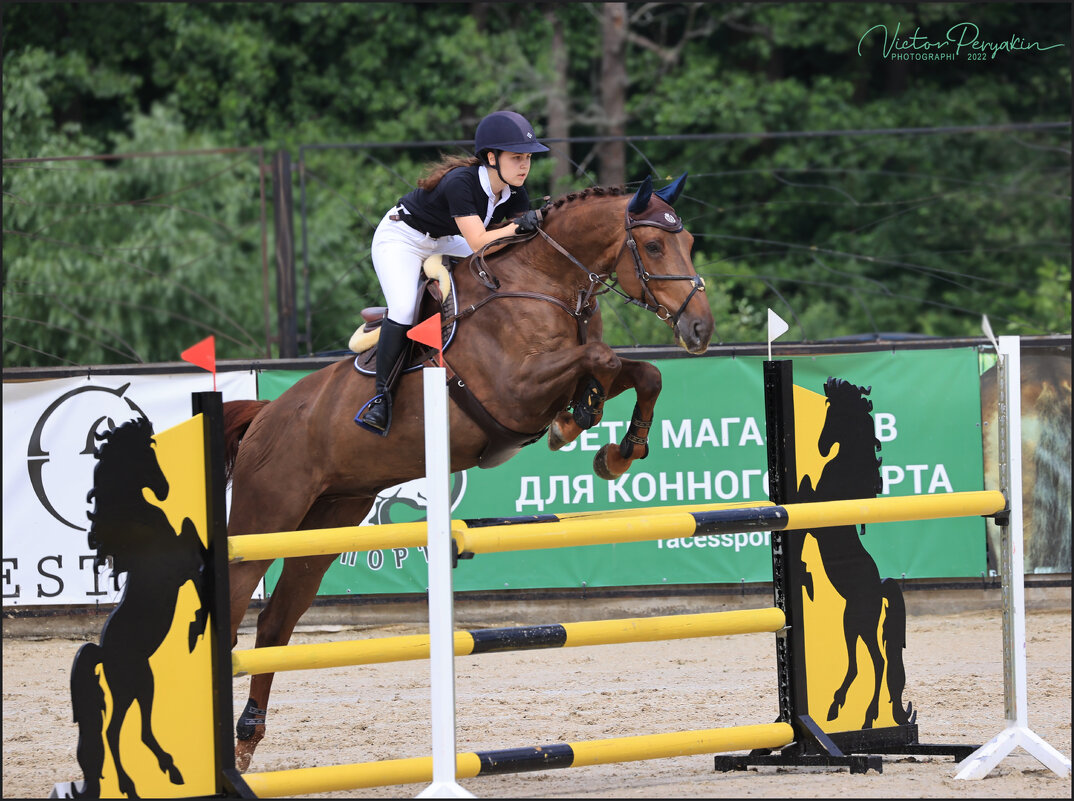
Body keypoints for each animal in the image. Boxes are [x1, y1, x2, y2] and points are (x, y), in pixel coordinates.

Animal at [69, 414, 209, 794]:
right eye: (147, 456)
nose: (164, 489)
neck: (135, 519)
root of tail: (103, 653)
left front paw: (196, 627)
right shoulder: (181, 563)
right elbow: (196, 544)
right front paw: (196, 627)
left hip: (141, 684)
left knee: (135, 731)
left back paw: (166, 770)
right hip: (133, 684)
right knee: (113, 732)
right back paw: (135, 783)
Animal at [222, 175, 717, 768]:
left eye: (688, 241)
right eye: (654, 246)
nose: (700, 329)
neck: (546, 281)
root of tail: (264, 416)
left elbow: (641, 372)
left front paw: (614, 451)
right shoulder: (516, 390)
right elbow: (601, 359)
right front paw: (575, 422)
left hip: (328, 520)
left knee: (276, 622)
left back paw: (247, 739)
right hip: (264, 516)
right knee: (233, 610)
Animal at [799, 377, 915, 725]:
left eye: (835, 415)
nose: (822, 446)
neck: (846, 469)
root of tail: (878, 588)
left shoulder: (814, 512)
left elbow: (803, 485)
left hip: (855, 622)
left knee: (876, 661)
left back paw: (859, 713)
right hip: (854, 624)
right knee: (866, 662)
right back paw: (845, 708)